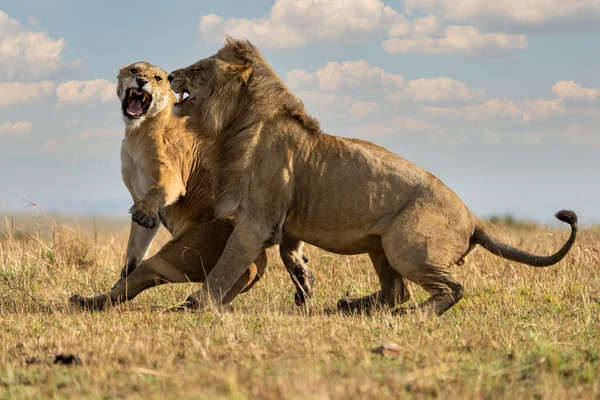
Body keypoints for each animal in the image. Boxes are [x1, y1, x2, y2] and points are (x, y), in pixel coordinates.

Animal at [70, 61, 314, 310]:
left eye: (157, 78)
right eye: (134, 70)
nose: (141, 81)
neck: (137, 131)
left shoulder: (172, 175)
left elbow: (158, 194)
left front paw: (144, 214)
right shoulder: (140, 198)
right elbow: (136, 245)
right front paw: (125, 269)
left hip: (183, 251)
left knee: (143, 275)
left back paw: (86, 301)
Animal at [166, 39, 580, 318]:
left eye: (198, 68)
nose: (169, 75)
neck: (235, 122)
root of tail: (474, 220)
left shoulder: (256, 222)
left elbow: (224, 268)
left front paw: (190, 306)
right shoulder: (283, 220)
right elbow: (292, 258)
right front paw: (304, 291)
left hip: (406, 245)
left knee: (449, 289)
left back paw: (410, 316)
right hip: (381, 243)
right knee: (396, 291)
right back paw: (348, 305)